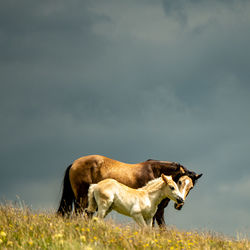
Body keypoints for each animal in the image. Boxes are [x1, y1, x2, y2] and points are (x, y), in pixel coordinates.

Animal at [57, 153, 202, 228]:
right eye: (179, 182)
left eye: (191, 187)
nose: (180, 203)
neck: (155, 172)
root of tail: (74, 163)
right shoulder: (158, 211)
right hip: (82, 201)